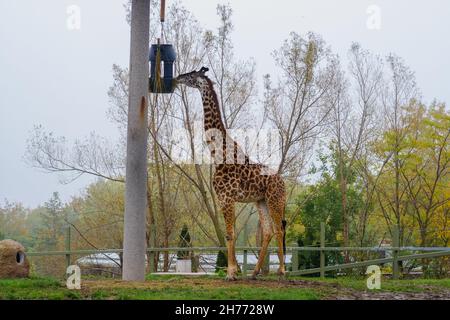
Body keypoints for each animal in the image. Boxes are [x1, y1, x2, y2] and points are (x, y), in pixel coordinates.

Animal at [177, 66, 288, 278]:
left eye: (191, 75)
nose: (177, 77)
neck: (218, 154)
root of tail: (283, 182)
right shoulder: (226, 198)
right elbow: (231, 234)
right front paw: (235, 271)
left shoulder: (227, 197)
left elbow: (229, 234)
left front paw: (230, 272)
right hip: (260, 201)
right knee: (268, 231)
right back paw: (255, 272)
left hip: (275, 200)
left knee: (279, 229)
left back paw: (282, 270)